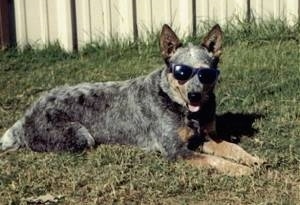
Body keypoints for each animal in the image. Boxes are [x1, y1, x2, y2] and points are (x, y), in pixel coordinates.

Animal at [0, 23, 262, 175]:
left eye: (205, 73)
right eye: (181, 71)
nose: (194, 95)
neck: (181, 108)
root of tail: (23, 118)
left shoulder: (206, 137)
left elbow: (233, 147)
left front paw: (252, 159)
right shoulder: (176, 151)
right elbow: (215, 161)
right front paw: (240, 170)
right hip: (81, 136)